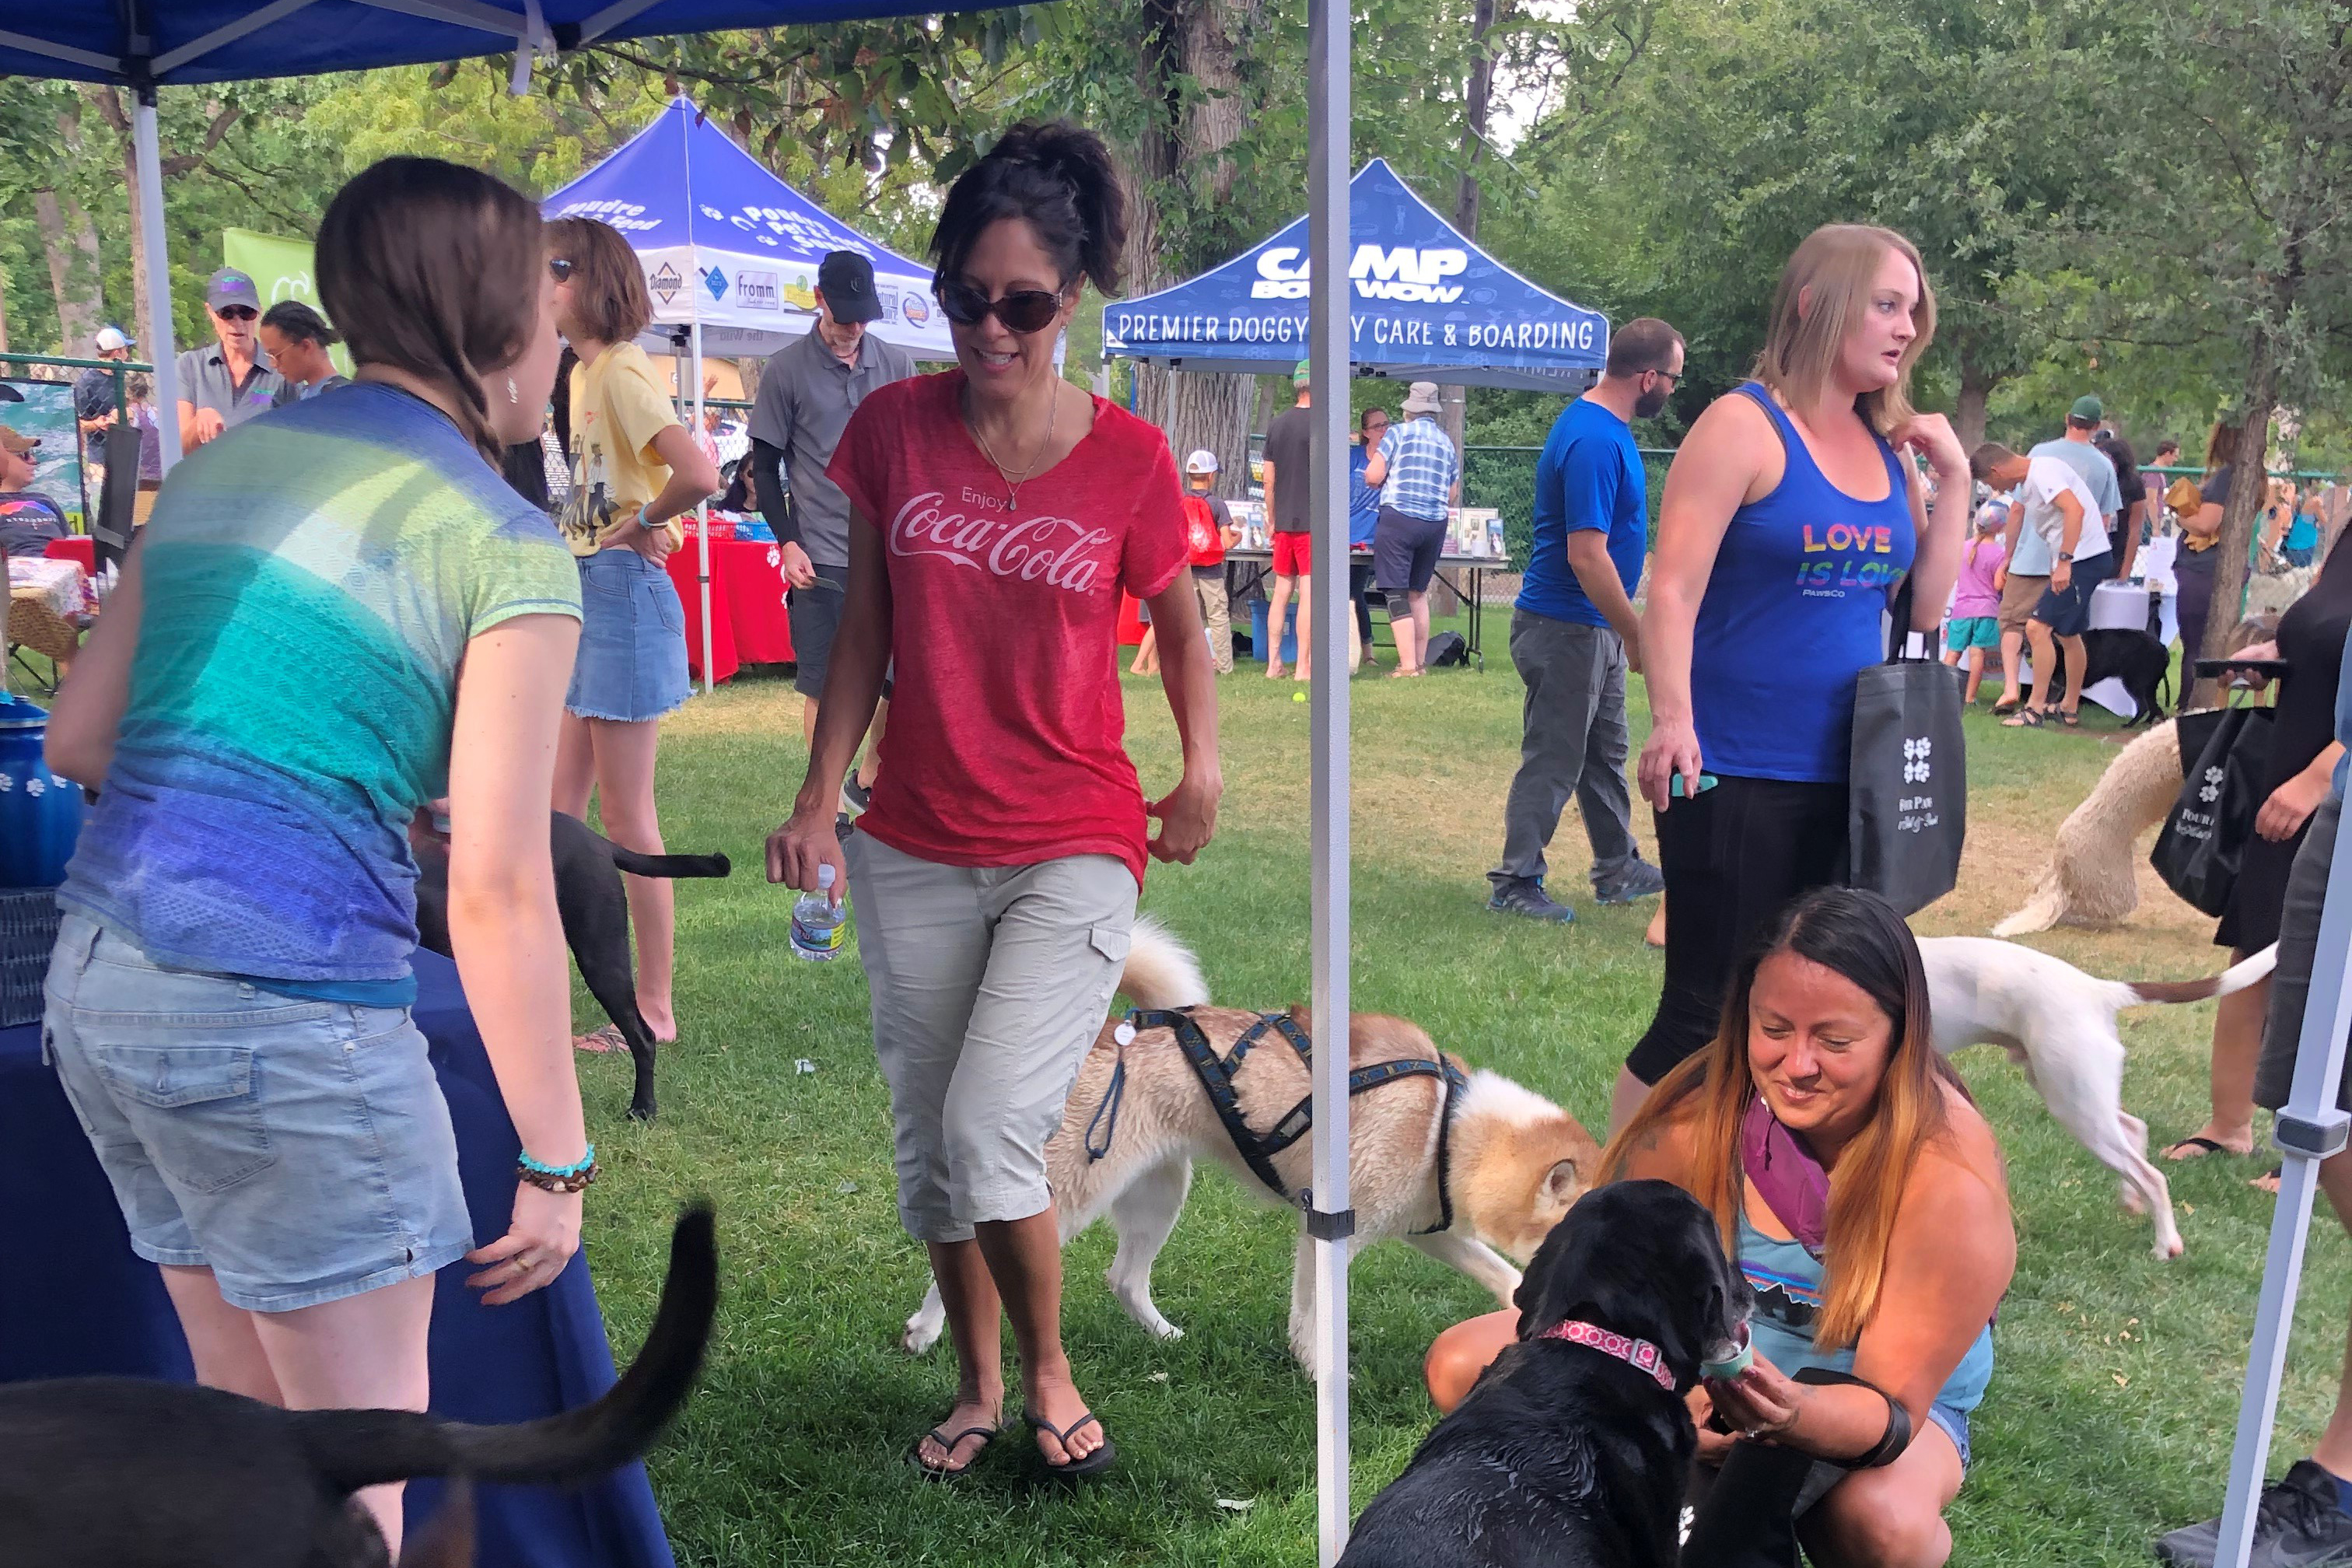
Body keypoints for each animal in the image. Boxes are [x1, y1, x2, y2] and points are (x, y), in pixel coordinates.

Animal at [898, 921, 1599, 1373]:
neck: (1446, 1123)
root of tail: (1110, 1029)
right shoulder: (1332, 1233)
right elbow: (1316, 1320)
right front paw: (1321, 1376)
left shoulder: (1424, 1231)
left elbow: (1502, 1274)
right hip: (1073, 1193)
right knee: (979, 1251)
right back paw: (926, 1331)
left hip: (1159, 1195)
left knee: (1123, 1279)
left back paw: (1167, 1338)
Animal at [1909, 940, 2277, 1260]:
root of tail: (2096, 990)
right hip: (2078, 1095)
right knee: (2135, 1129)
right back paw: (2131, 1200)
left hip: (2075, 1104)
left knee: (2152, 1175)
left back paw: (2165, 1245)